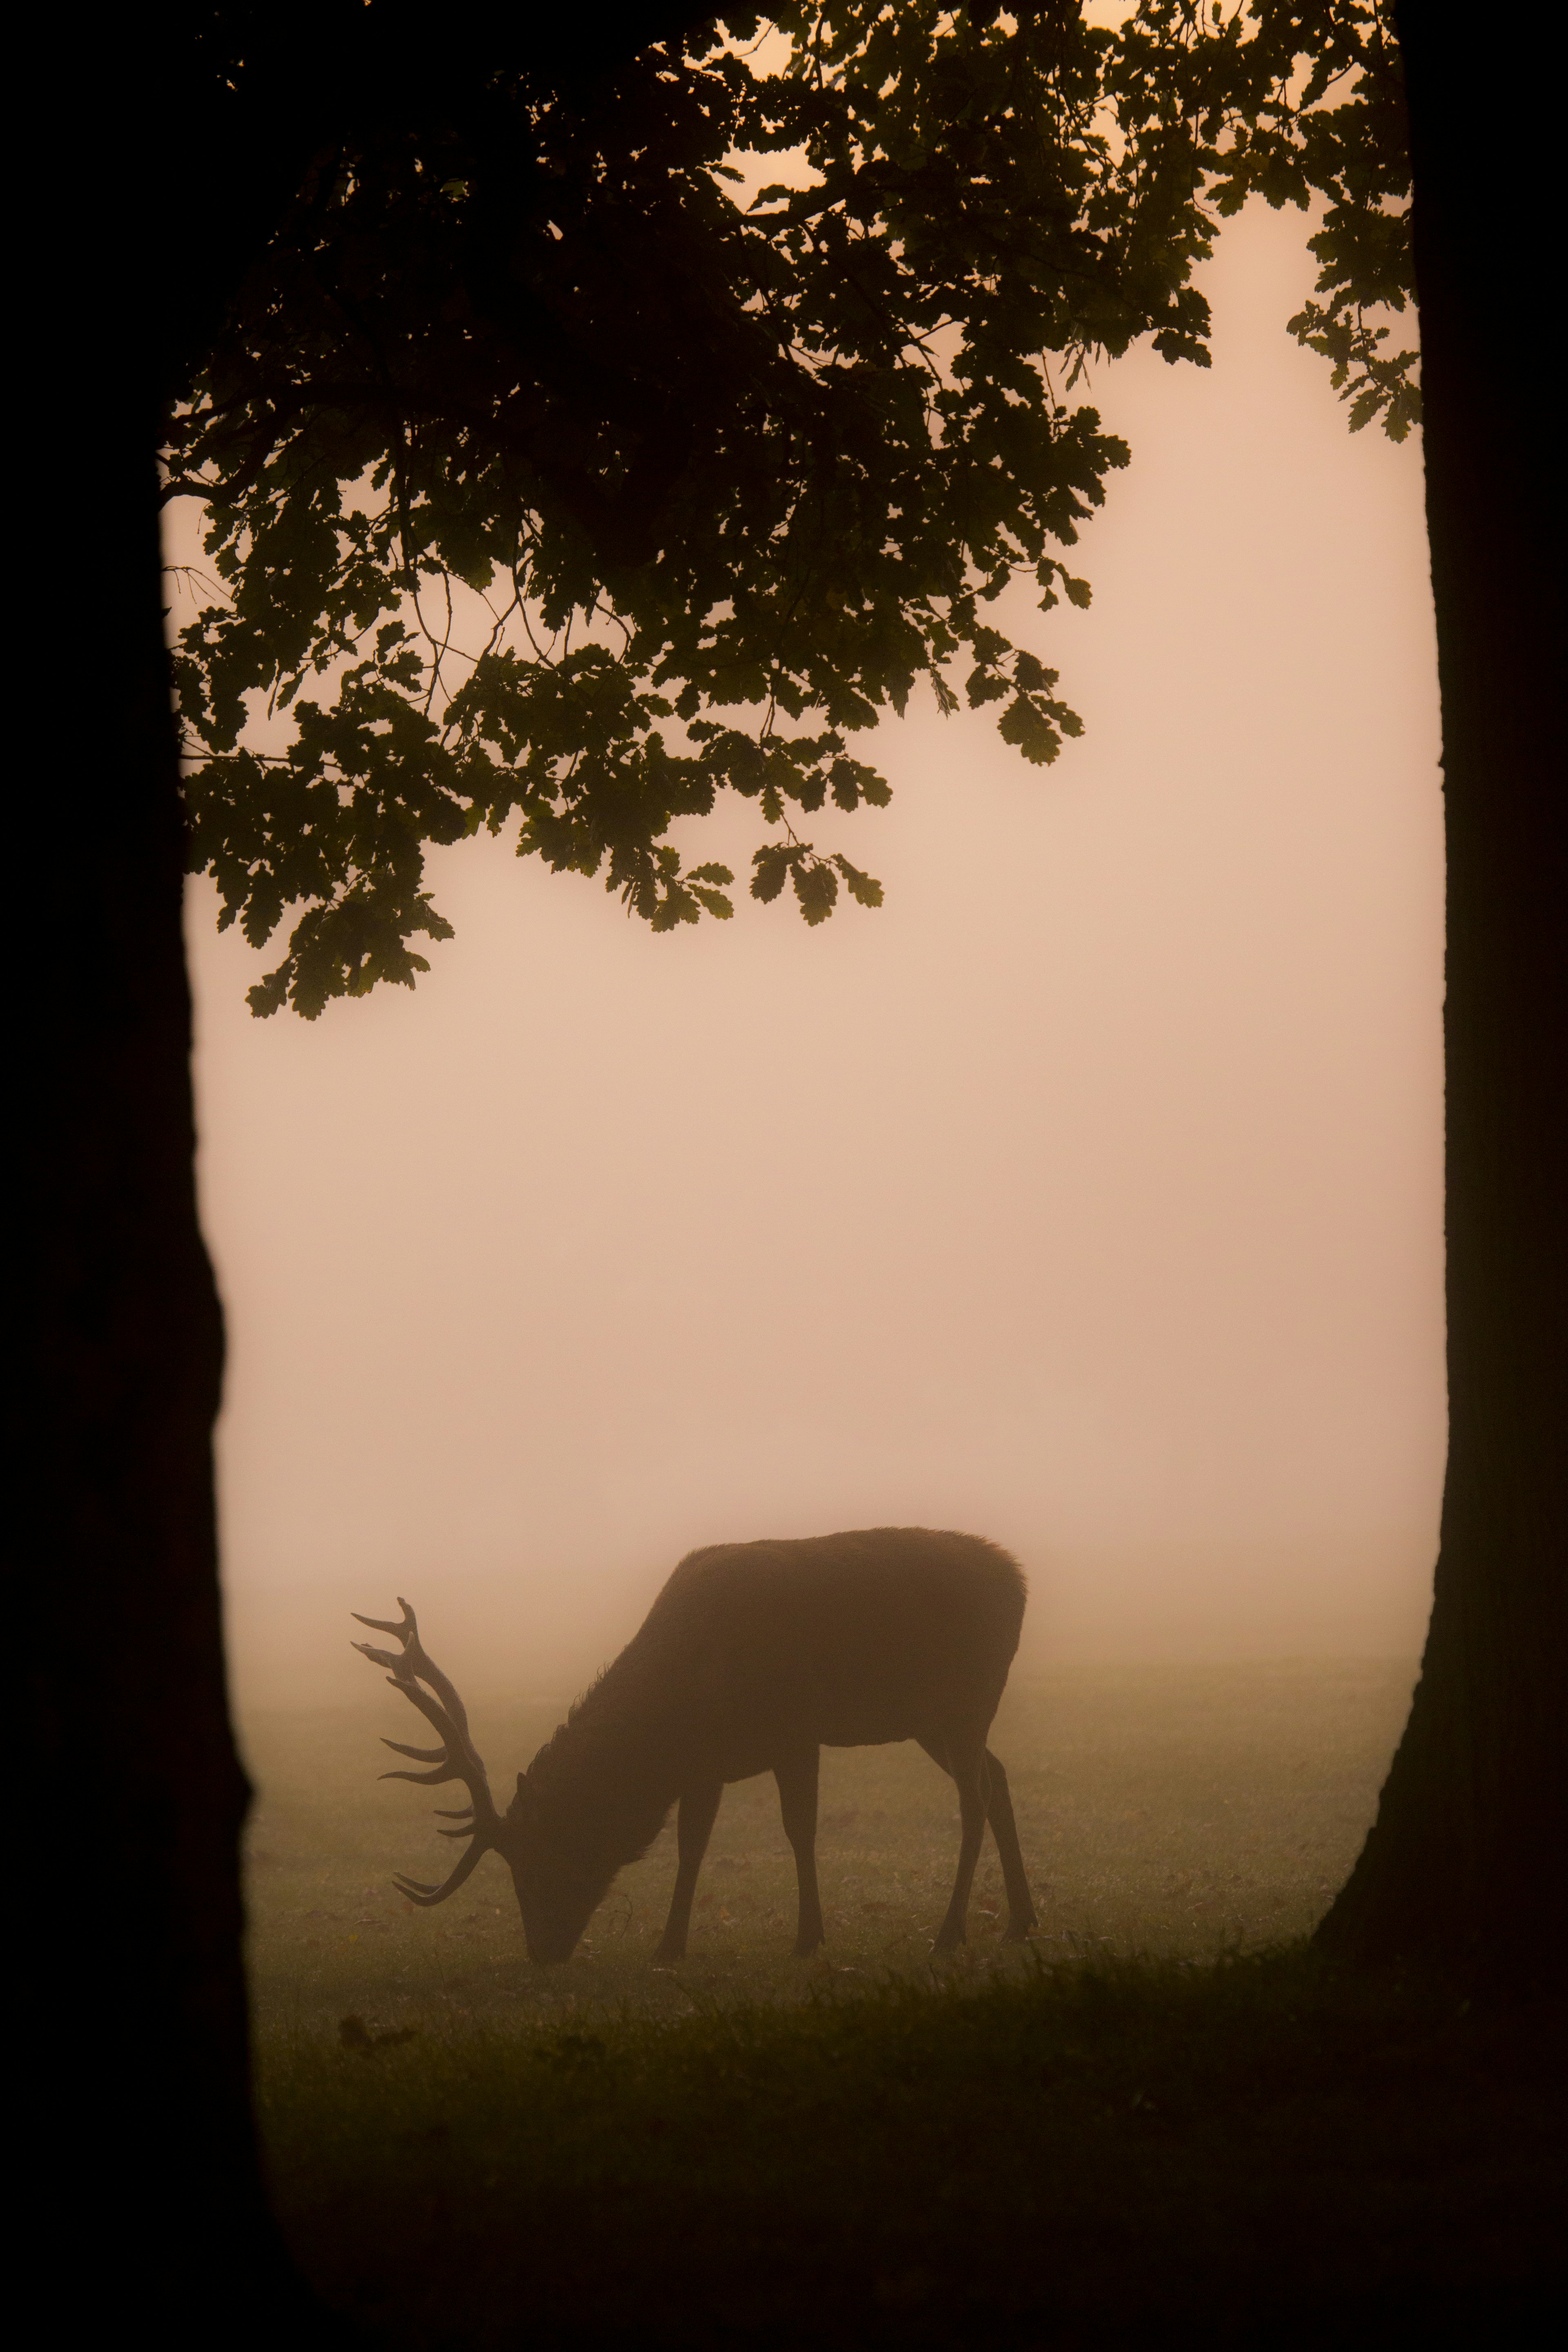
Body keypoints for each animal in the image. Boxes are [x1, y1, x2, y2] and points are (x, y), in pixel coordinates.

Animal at [352, 1526, 1038, 1964]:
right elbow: (691, 1848)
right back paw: (1021, 1922)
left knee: (975, 1798)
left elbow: (800, 1829)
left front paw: (808, 1938)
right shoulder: (705, 1768)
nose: (541, 1951)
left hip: (968, 1699)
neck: (679, 1716)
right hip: (934, 1720)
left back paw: (950, 1933)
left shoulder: (794, 1730)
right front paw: (670, 1944)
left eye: (534, 1863)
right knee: (1000, 1778)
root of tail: (1020, 1580)